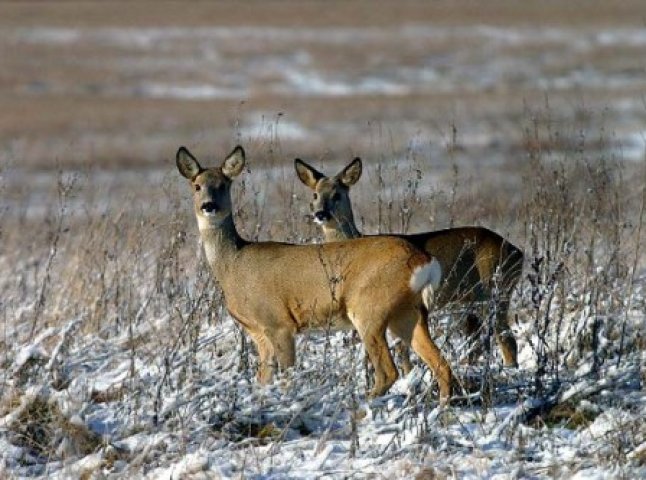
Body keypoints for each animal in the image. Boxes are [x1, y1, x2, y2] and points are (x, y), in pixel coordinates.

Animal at [175, 145, 454, 398]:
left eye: (223, 185)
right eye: (197, 186)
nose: (208, 206)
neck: (233, 264)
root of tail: (423, 260)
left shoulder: (279, 322)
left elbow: (287, 377)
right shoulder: (258, 333)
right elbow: (263, 380)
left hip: (369, 307)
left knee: (388, 371)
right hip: (407, 312)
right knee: (441, 364)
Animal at [296, 158, 524, 368]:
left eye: (337, 195)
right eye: (315, 194)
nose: (320, 214)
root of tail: (518, 253)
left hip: (494, 290)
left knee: (506, 339)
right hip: (470, 304)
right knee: (478, 344)